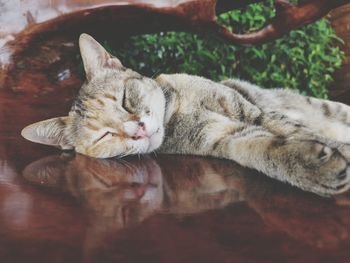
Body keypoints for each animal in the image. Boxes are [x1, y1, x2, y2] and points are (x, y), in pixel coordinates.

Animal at [21, 33, 350, 197]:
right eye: (105, 135)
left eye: (125, 100)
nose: (138, 129)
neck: (177, 112)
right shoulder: (227, 138)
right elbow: (262, 151)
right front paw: (314, 166)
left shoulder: (249, 109)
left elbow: (296, 128)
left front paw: (337, 149)